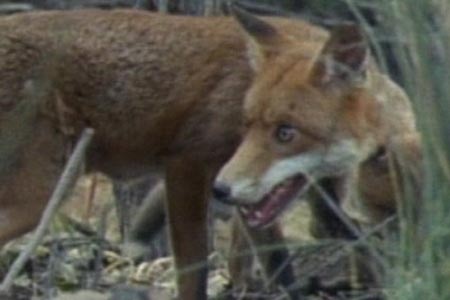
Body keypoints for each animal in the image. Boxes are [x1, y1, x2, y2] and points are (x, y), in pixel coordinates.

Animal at [0, 4, 418, 300]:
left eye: (286, 132)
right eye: (248, 123)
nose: (221, 191)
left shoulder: (281, 193)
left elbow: (274, 258)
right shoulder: (187, 163)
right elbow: (195, 272)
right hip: (40, 197)